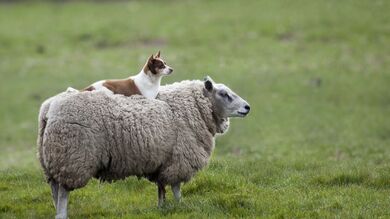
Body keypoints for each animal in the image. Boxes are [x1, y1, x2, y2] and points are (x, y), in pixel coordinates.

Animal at [37, 76, 250, 218]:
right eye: (224, 94)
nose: (247, 107)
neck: (194, 108)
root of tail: (49, 109)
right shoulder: (179, 159)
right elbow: (176, 187)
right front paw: (181, 205)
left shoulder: (163, 161)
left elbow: (161, 188)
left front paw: (162, 208)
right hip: (71, 158)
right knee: (63, 191)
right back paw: (62, 214)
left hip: (51, 159)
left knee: (55, 189)